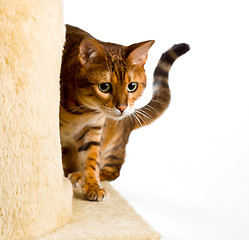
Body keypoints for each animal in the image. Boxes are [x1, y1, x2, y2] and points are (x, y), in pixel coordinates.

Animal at [60, 24, 189, 201]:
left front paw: (93, 186)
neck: (83, 113)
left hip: (114, 147)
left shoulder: (93, 130)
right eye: (104, 87)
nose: (122, 107)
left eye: (132, 86)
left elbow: (91, 160)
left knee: (113, 172)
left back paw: (78, 176)